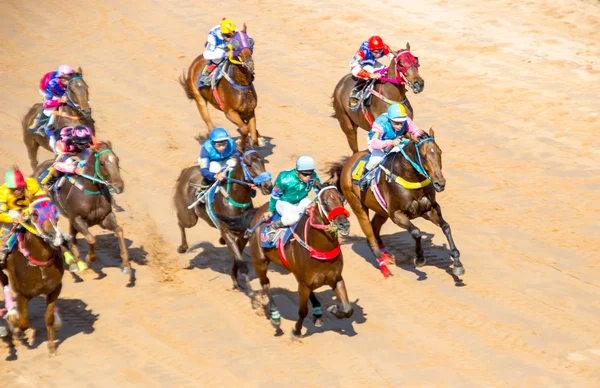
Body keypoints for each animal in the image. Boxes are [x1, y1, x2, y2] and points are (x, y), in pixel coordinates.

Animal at [0, 199, 67, 356]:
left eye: (55, 211)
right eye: (35, 214)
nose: (54, 236)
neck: (39, 263)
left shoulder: (55, 288)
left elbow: (48, 318)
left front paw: (52, 347)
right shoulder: (22, 294)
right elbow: (24, 323)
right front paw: (17, 332)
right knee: (3, 279)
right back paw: (12, 313)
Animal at [32, 141, 131, 280]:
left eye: (117, 160)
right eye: (102, 163)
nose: (119, 186)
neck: (91, 192)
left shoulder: (105, 217)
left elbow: (119, 231)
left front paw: (126, 265)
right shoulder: (77, 219)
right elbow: (91, 239)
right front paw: (90, 258)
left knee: (72, 237)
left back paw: (77, 262)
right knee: (55, 233)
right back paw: (72, 262)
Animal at [172, 143, 274, 292]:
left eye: (262, 161)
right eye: (248, 164)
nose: (268, 186)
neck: (235, 198)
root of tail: (186, 170)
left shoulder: (243, 234)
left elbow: (237, 259)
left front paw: (235, 280)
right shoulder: (227, 232)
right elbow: (240, 261)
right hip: (189, 217)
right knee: (180, 223)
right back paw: (182, 248)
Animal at [218, 183, 354, 338]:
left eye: (342, 198)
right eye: (325, 202)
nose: (344, 224)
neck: (320, 250)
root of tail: (259, 210)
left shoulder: (335, 278)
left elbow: (348, 309)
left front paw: (333, 309)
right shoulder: (305, 284)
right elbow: (302, 311)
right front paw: (296, 331)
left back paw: (317, 312)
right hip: (260, 261)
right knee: (265, 285)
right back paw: (275, 317)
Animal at [328, 130, 464, 278]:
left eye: (440, 152)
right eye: (423, 156)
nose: (440, 183)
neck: (410, 178)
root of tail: (346, 164)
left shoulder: (428, 209)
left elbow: (446, 227)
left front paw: (457, 263)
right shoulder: (396, 214)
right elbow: (416, 232)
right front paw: (420, 258)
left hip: (382, 210)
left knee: (375, 228)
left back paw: (387, 256)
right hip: (358, 206)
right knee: (370, 236)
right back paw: (385, 269)